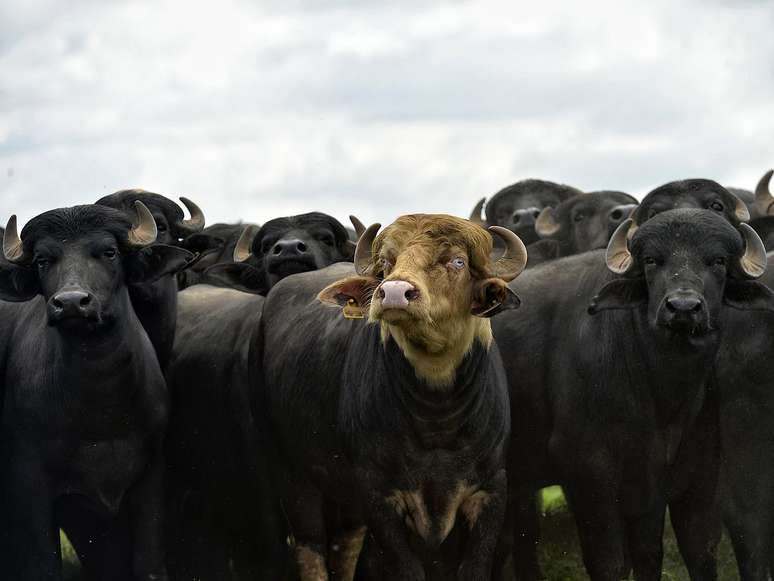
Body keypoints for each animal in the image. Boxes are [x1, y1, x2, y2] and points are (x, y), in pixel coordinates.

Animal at [0, 202, 192, 576]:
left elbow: (148, 564)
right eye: (43, 260)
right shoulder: (28, 486)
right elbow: (42, 566)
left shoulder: (150, 480)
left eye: (109, 252)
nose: (72, 303)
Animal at [494, 206, 772, 576]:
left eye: (718, 261)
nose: (683, 307)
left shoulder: (667, 481)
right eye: (652, 260)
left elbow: (655, 554)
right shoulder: (587, 475)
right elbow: (610, 561)